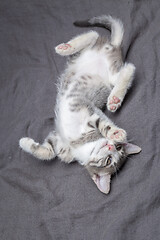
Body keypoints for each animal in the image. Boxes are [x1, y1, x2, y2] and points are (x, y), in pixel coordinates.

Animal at [19, 15, 141, 194]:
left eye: (111, 159)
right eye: (117, 149)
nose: (111, 146)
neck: (77, 147)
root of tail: (113, 46)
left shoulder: (91, 114)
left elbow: (104, 124)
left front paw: (115, 133)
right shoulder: (59, 136)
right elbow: (48, 153)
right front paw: (25, 143)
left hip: (111, 75)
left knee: (129, 68)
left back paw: (115, 99)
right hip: (84, 56)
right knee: (93, 35)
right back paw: (66, 47)